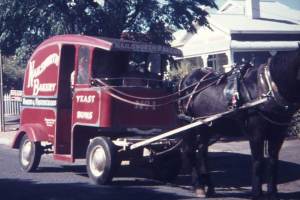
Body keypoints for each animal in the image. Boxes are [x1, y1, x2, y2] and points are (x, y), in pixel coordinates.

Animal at [179, 47, 300, 199]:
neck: (268, 89)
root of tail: (186, 78)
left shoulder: (278, 134)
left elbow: (273, 161)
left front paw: (272, 194)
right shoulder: (256, 135)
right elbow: (258, 162)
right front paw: (257, 194)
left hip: (206, 127)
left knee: (201, 153)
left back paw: (210, 188)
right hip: (188, 125)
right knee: (189, 151)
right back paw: (199, 187)